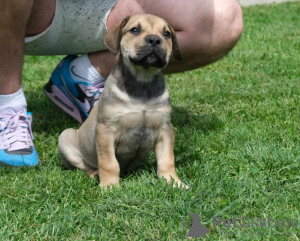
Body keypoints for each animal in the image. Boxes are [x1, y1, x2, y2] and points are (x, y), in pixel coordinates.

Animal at [58, 13, 189, 190]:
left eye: (167, 34)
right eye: (135, 30)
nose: (155, 40)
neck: (142, 82)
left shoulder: (165, 129)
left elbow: (167, 159)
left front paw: (173, 182)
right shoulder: (106, 130)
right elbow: (109, 162)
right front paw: (109, 187)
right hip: (65, 137)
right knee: (84, 166)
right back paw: (95, 174)